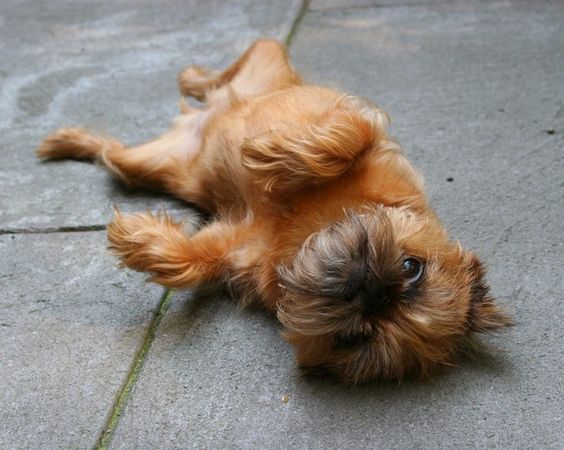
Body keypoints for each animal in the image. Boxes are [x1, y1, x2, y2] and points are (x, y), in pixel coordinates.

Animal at [37, 39, 508, 384]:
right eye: (412, 268)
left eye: (355, 338)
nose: (373, 292)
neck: (300, 231)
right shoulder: (379, 147)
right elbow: (350, 134)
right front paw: (276, 155)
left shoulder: (227, 250)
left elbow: (189, 264)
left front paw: (138, 238)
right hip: (268, 60)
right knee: (234, 70)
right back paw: (195, 81)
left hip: (141, 166)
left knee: (109, 151)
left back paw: (70, 141)